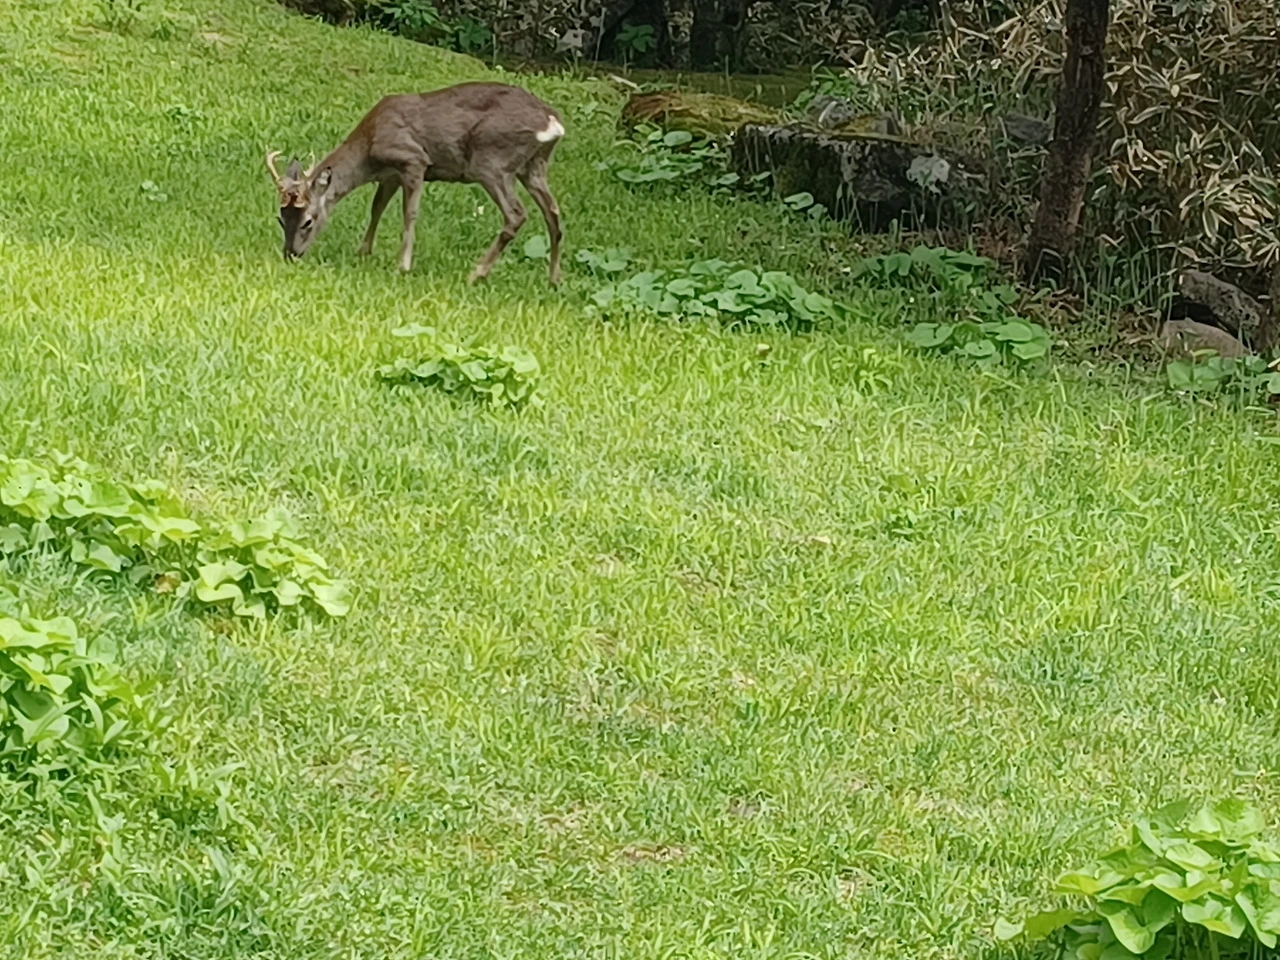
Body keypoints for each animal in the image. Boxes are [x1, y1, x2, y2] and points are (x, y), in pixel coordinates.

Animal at [265, 81, 565, 285]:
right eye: (280, 218)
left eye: (308, 221)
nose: (291, 254)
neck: (368, 150)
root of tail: (552, 124)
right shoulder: (390, 175)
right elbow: (376, 208)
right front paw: (363, 252)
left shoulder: (413, 160)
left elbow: (409, 213)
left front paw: (403, 265)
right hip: (534, 166)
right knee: (553, 213)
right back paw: (553, 279)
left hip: (491, 160)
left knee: (516, 214)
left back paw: (475, 274)